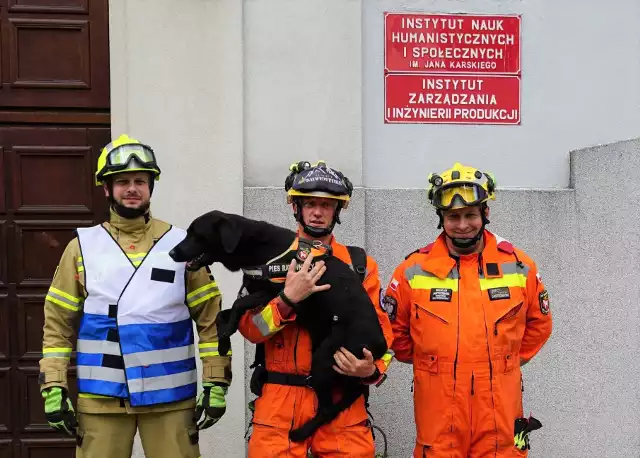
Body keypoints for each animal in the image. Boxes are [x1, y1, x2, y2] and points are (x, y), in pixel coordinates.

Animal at [168, 210, 388, 440]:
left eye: (196, 234)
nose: (171, 253)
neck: (253, 245)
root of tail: (381, 343)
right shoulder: (260, 296)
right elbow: (222, 314)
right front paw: (222, 341)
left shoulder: (272, 291)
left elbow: (238, 304)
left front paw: (228, 329)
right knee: (352, 394)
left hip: (325, 358)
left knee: (328, 408)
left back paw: (301, 432)